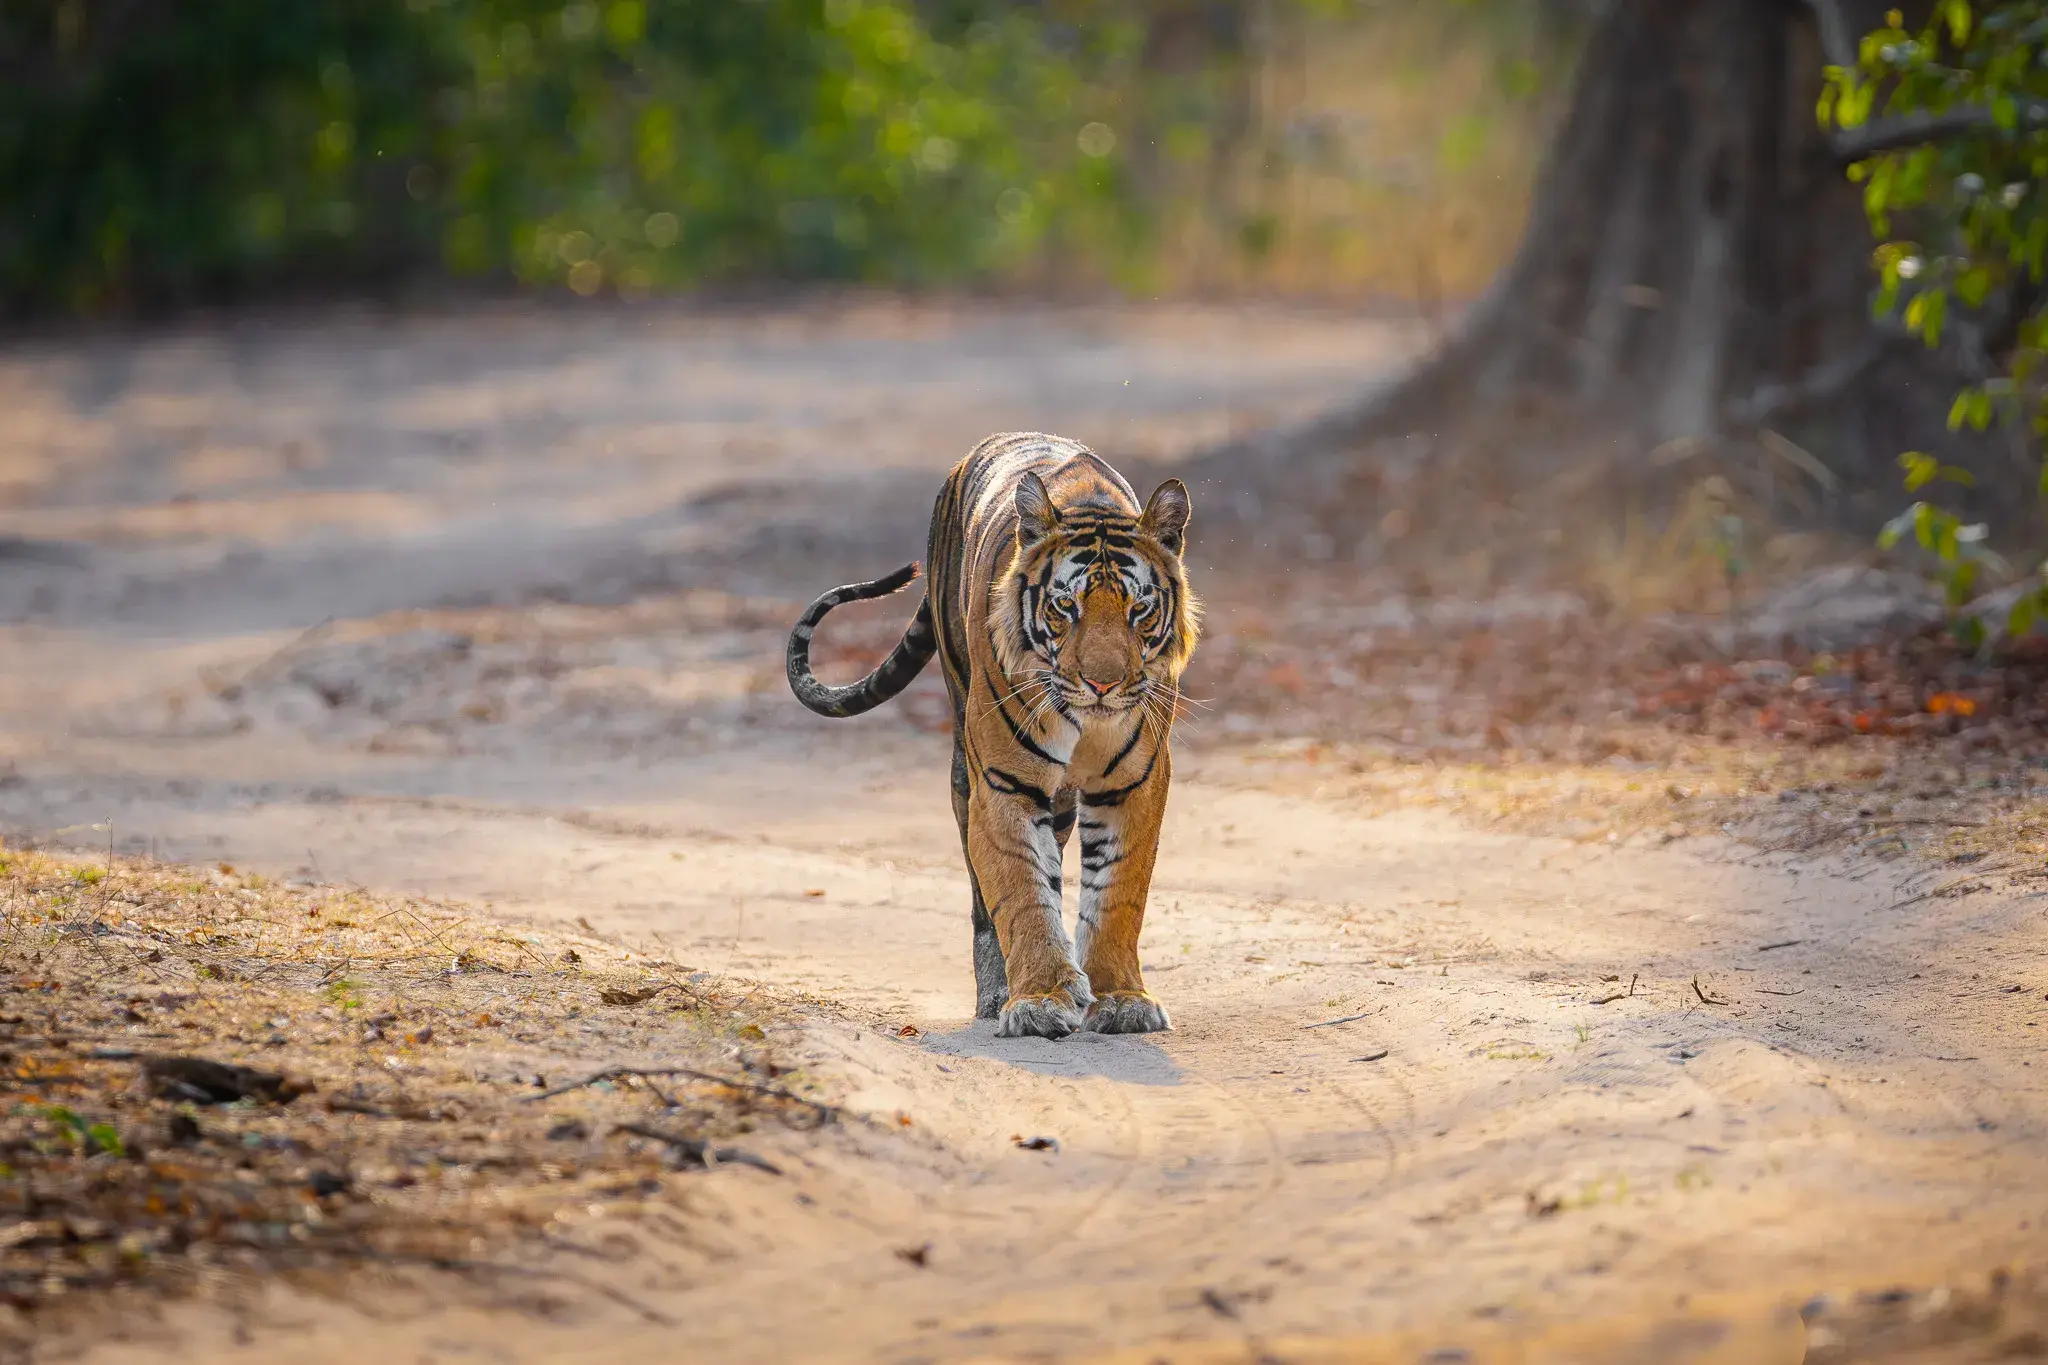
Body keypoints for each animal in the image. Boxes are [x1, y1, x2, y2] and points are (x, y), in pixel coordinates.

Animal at [786, 432, 1199, 1039]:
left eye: (1139, 609)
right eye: (1065, 606)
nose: (1102, 683)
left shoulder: (1133, 784)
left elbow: (1119, 893)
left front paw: (1120, 997)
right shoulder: (1004, 784)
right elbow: (1021, 891)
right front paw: (1039, 999)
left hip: (1061, 800)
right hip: (966, 764)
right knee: (986, 895)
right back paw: (997, 992)